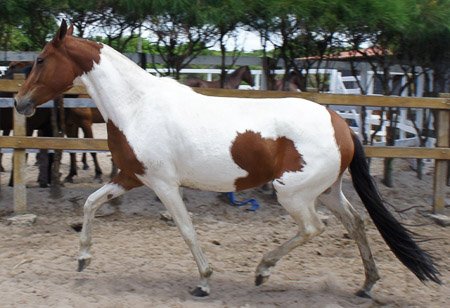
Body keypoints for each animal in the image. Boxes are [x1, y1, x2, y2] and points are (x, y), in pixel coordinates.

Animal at [13, 21, 440, 298]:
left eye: (40, 59)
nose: (19, 102)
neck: (137, 106)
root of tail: (341, 124)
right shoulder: (131, 176)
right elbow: (90, 203)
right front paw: (82, 259)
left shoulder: (164, 184)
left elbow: (186, 229)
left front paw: (204, 280)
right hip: (328, 191)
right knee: (357, 224)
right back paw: (366, 284)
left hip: (294, 194)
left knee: (313, 228)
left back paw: (263, 271)